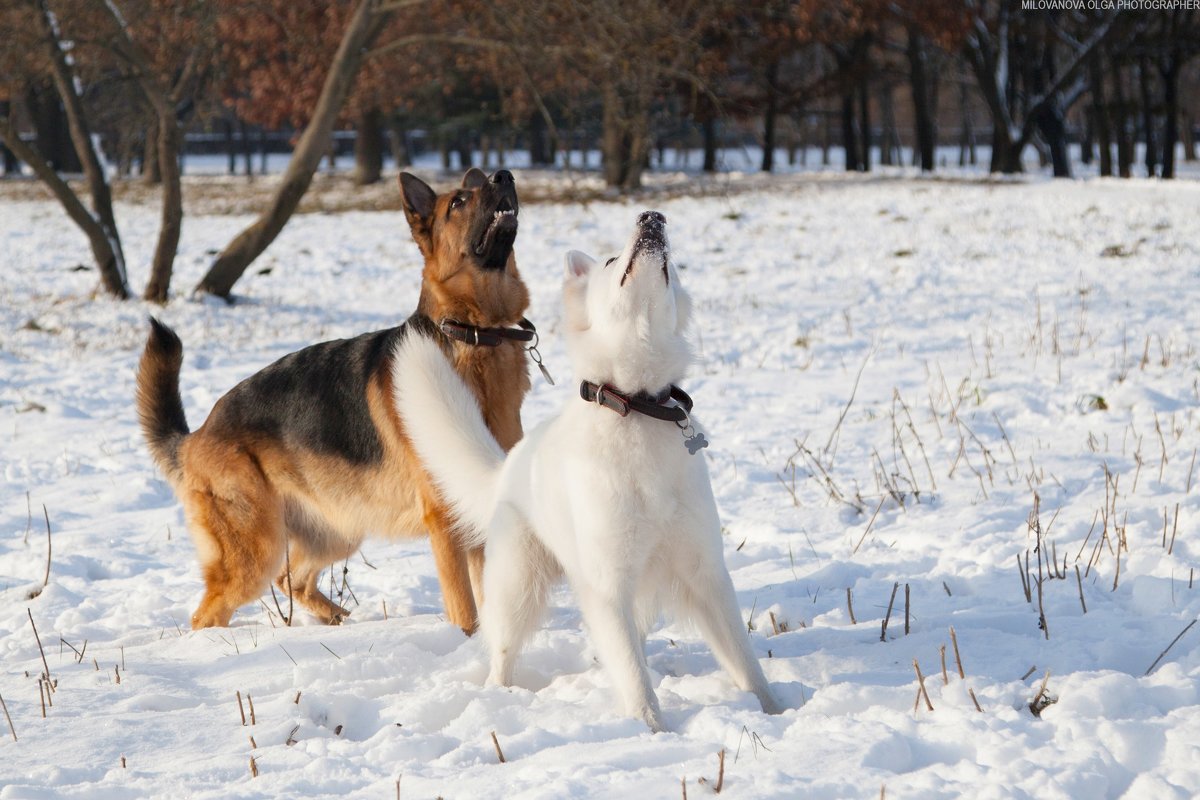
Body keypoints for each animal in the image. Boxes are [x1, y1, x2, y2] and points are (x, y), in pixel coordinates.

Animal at [133, 167, 537, 633]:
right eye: (458, 202)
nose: (504, 175)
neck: (472, 332)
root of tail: (197, 435)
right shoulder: (446, 521)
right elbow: (464, 608)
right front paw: (467, 641)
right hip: (257, 550)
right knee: (211, 611)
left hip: (338, 529)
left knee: (292, 580)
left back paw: (340, 621)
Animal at [396, 209, 787, 729]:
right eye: (608, 260)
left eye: (673, 269)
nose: (652, 217)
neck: (637, 406)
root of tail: (510, 465)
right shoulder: (608, 586)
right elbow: (634, 677)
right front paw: (652, 730)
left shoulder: (706, 574)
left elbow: (745, 663)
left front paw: (778, 711)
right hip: (519, 588)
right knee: (503, 651)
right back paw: (499, 695)